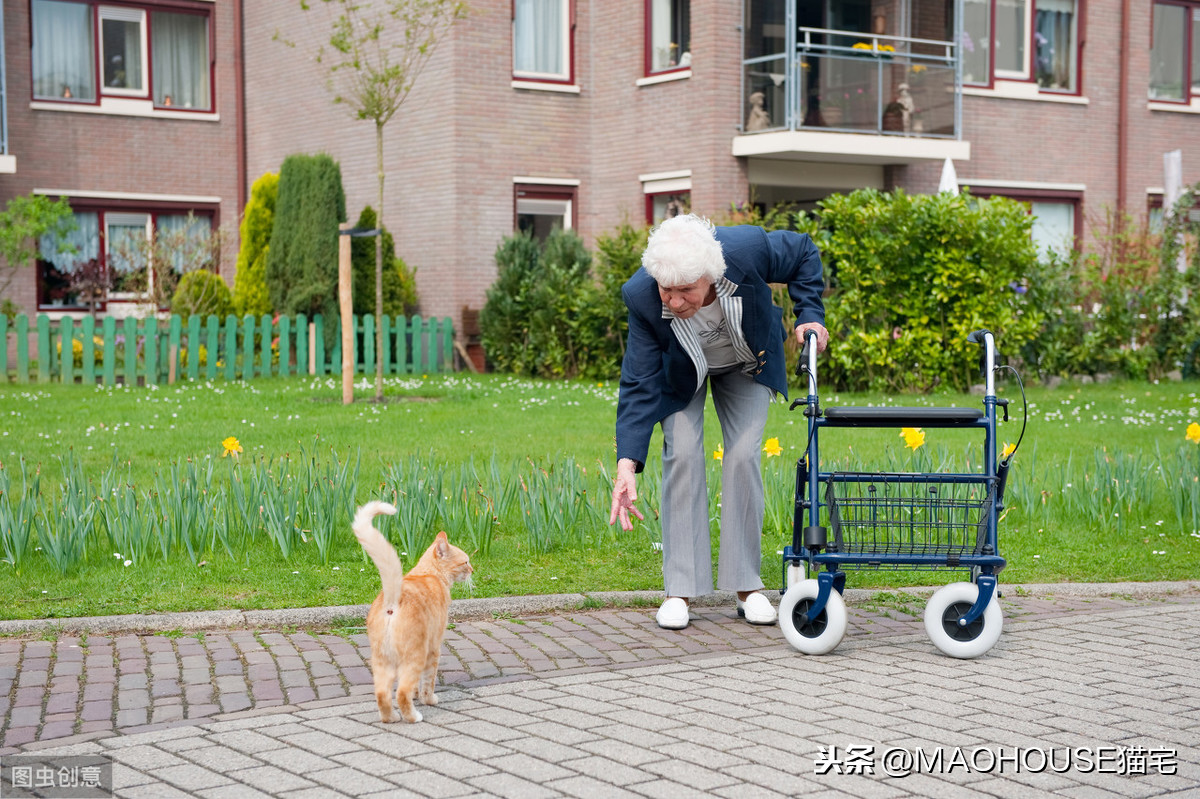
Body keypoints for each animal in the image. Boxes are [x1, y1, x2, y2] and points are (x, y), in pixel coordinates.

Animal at [350, 499, 472, 719]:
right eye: (465, 562)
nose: (473, 570)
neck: (428, 573)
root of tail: (393, 598)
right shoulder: (434, 647)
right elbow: (428, 681)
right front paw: (427, 699)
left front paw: (417, 696)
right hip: (415, 654)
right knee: (401, 692)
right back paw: (413, 717)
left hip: (382, 659)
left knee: (382, 694)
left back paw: (391, 718)